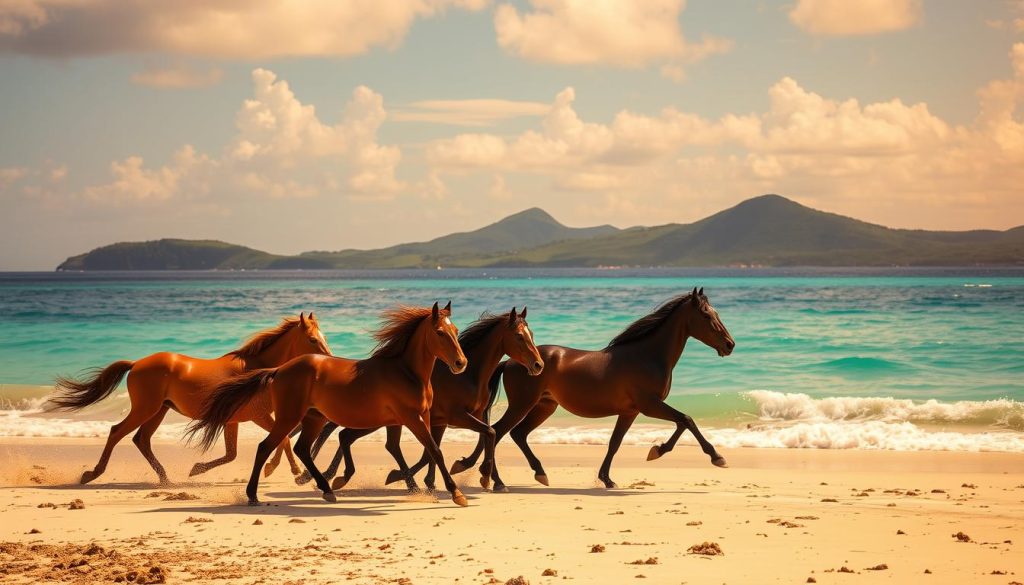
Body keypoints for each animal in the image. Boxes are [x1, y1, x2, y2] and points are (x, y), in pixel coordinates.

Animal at [48, 312, 333, 485]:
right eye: (312, 339)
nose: (330, 360)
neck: (257, 368)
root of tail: (136, 364)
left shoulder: (233, 421)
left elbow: (232, 454)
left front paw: (197, 469)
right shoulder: (258, 415)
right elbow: (282, 440)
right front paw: (287, 471)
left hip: (159, 411)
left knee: (141, 440)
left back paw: (165, 480)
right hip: (146, 408)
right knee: (117, 432)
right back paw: (92, 474)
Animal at [187, 302, 473, 507]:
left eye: (456, 331)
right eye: (439, 332)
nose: (461, 363)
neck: (405, 372)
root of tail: (279, 370)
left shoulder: (409, 419)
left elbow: (420, 450)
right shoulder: (412, 418)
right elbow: (434, 450)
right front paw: (456, 494)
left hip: (315, 417)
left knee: (302, 448)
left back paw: (326, 490)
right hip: (290, 417)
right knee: (266, 446)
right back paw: (253, 496)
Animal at [299, 306, 544, 492]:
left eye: (532, 334)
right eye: (519, 336)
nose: (538, 365)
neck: (469, 375)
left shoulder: (446, 420)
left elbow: (476, 439)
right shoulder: (455, 416)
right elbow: (487, 435)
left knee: (364, 440)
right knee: (345, 435)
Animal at [451, 288, 734, 491]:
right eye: (707, 315)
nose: (730, 344)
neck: (647, 356)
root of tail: (510, 361)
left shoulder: (630, 412)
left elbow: (615, 443)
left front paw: (608, 478)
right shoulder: (649, 405)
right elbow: (686, 420)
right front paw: (714, 457)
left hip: (544, 406)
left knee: (516, 434)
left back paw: (537, 473)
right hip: (523, 404)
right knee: (498, 432)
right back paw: (496, 481)